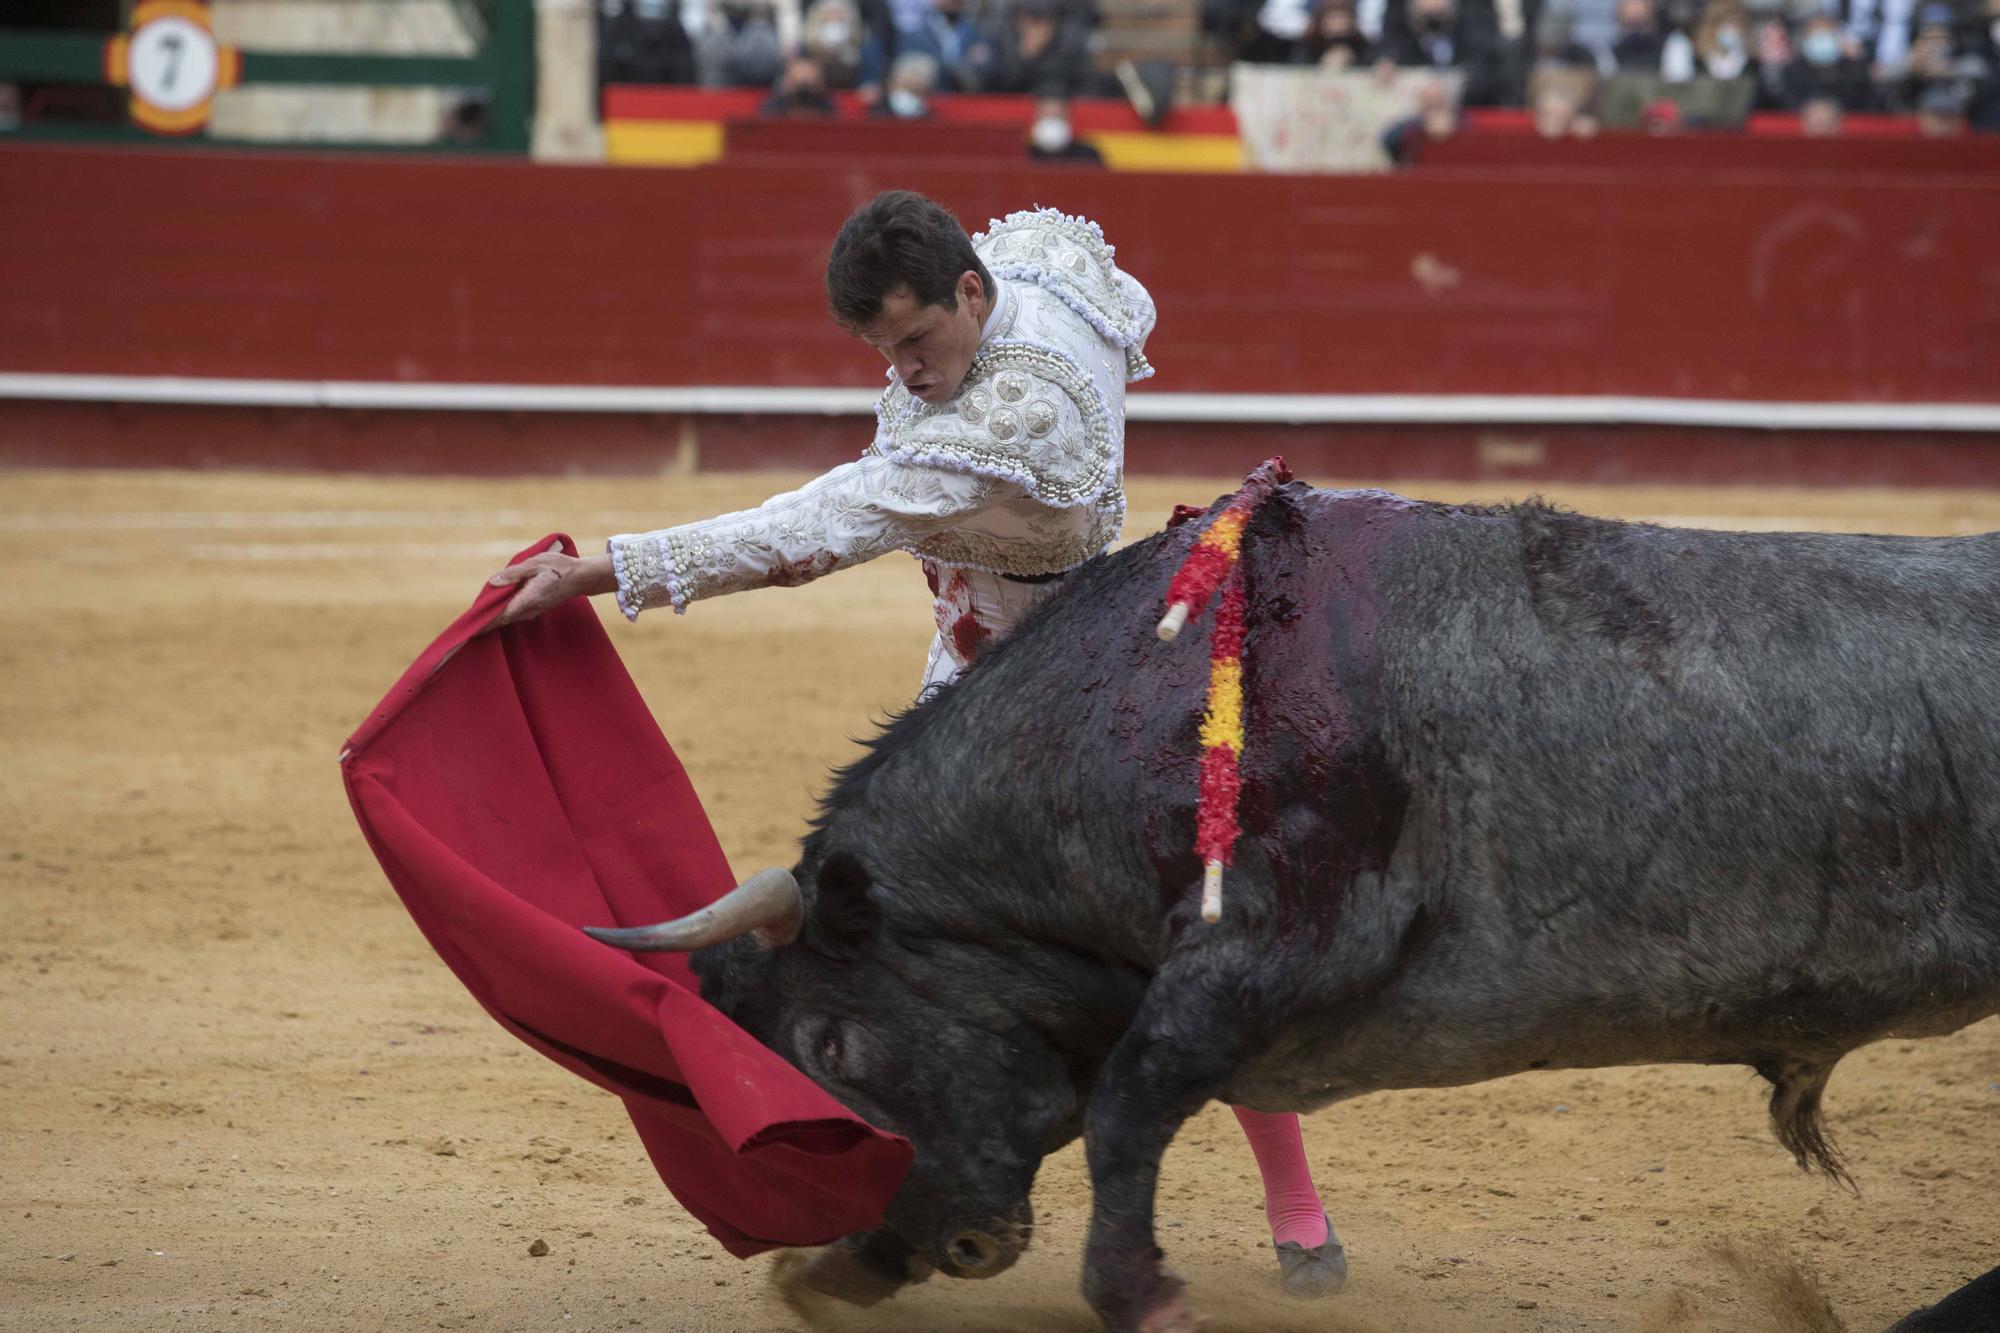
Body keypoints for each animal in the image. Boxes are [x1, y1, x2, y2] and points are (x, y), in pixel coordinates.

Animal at [580, 480, 2000, 1328]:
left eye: (829, 1040)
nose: (953, 1242)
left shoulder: (1271, 949)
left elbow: (1126, 1108)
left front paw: (1138, 1291)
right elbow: (1091, 1103)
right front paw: (836, 1273)